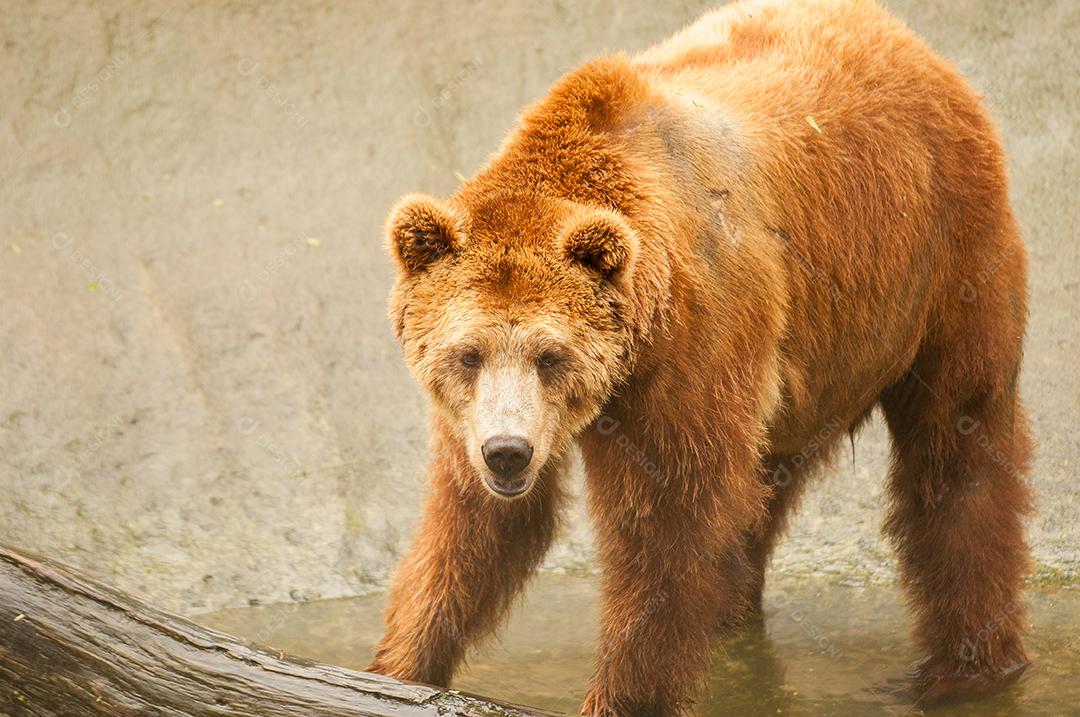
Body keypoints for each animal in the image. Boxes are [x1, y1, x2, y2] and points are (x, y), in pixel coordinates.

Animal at [368, 0, 1034, 714]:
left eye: (552, 355)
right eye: (468, 354)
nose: (508, 452)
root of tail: (911, 42)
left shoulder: (694, 345)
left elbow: (669, 528)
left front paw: (626, 694)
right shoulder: (478, 416)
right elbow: (470, 527)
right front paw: (398, 667)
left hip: (944, 259)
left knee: (958, 451)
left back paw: (963, 667)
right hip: (813, 354)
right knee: (766, 480)